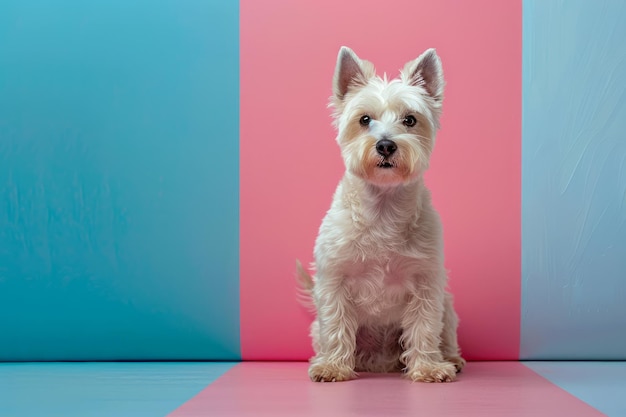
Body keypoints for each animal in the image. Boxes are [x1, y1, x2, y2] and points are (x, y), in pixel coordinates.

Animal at [298, 44, 464, 380]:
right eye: (364, 119)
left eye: (410, 120)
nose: (386, 145)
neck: (384, 207)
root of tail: (382, 361)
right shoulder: (334, 278)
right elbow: (336, 324)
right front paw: (333, 366)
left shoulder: (426, 281)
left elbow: (424, 326)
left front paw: (428, 367)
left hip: (448, 305)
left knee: (445, 333)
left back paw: (451, 359)